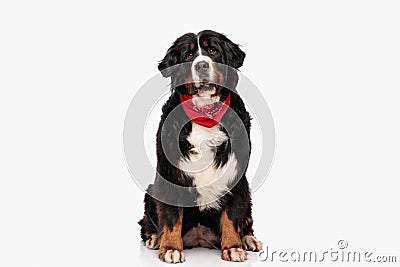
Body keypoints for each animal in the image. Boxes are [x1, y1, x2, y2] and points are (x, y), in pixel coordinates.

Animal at [138, 29, 262, 264]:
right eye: (188, 55)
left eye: (212, 50)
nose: (201, 65)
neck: (205, 113)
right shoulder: (170, 174)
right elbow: (171, 217)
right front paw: (170, 247)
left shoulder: (236, 176)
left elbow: (232, 215)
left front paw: (233, 246)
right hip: (151, 191)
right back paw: (155, 238)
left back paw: (248, 239)